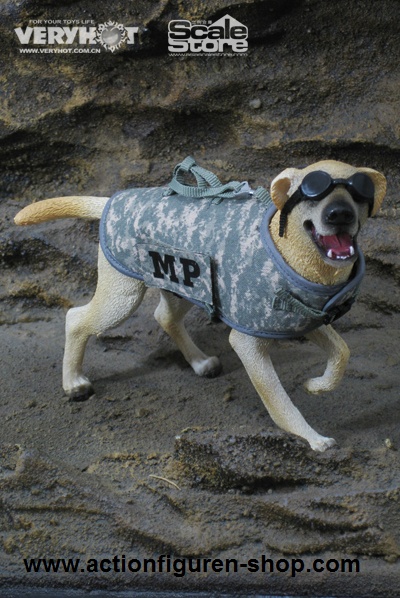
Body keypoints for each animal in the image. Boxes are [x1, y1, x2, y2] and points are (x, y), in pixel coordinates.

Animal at [14, 162, 386, 452]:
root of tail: (113, 201)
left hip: (186, 288)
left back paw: (199, 362)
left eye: (360, 190)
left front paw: (319, 385)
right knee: (76, 319)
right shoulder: (248, 343)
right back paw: (73, 382)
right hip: (122, 296)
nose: (340, 215)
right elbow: (279, 401)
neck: (292, 251)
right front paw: (310, 437)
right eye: (312, 190)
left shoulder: (308, 320)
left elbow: (342, 351)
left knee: (164, 316)